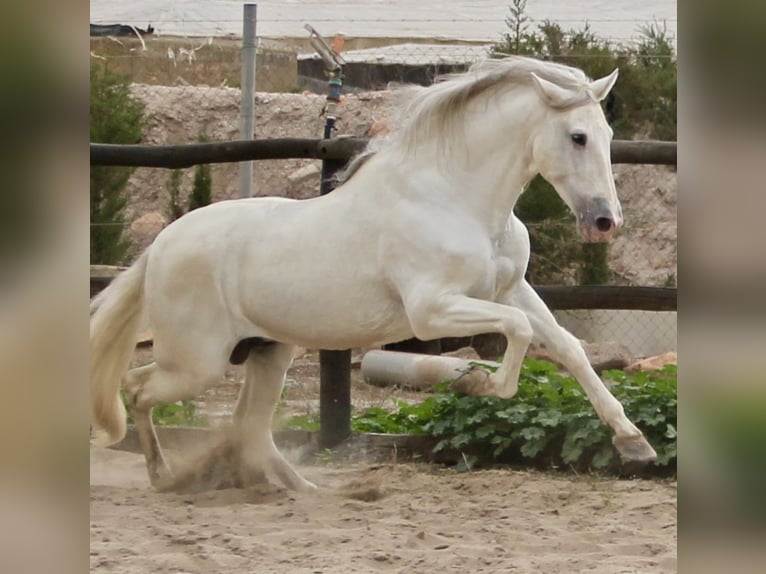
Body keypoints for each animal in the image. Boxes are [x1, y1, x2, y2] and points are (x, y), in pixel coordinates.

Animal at [90, 57, 656, 490]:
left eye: (608, 134)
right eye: (578, 137)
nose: (605, 222)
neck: (454, 197)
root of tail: (160, 247)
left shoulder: (511, 290)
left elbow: (568, 347)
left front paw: (634, 442)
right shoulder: (431, 311)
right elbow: (516, 336)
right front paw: (477, 385)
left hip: (268, 351)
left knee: (247, 425)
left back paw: (307, 489)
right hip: (198, 363)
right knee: (137, 388)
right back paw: (164, 476)